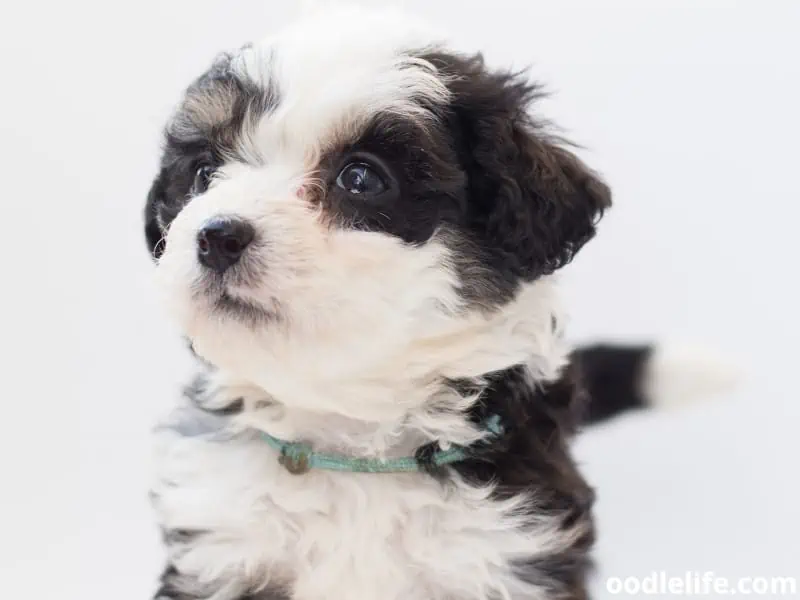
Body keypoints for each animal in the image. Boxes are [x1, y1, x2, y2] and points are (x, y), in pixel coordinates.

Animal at [145, 5, 724, 600]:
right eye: (203, 172)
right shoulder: (224, 547)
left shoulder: (511, 553)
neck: (354, 446)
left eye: (360, 178)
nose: (217, 236)